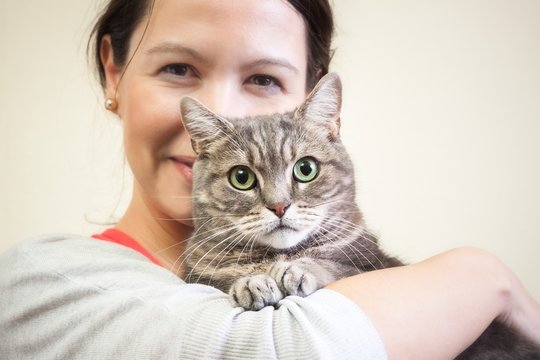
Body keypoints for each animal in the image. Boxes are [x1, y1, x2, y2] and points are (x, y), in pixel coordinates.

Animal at [180, 71, 540, 358]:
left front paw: (296, 270)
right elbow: (223, 277)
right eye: (241, 177)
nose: (279, 205)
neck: (277, 254)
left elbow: (333, 266)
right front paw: (252, 282)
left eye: (305, 169)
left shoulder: (369, 264)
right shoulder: (198, 273)